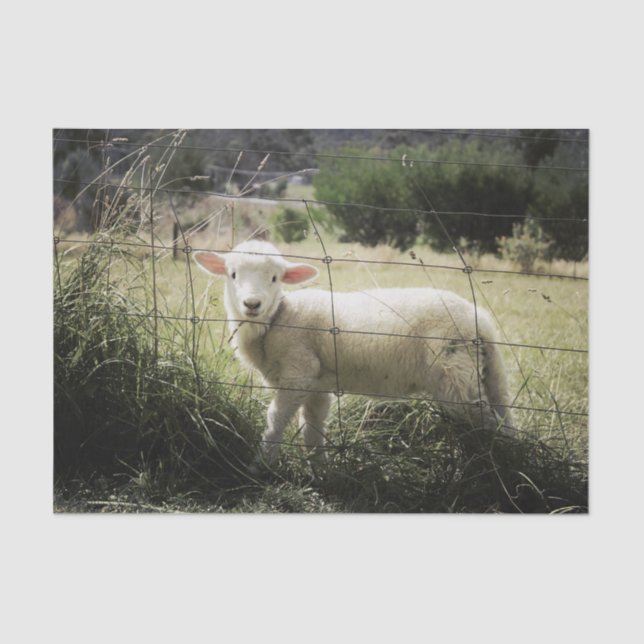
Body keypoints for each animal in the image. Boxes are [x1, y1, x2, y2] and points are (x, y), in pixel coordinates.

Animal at [194, 240, 515, 469]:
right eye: (232, 274)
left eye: (275, 278)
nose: (252, 304)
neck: (276, 320)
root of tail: (480, 321)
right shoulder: (317, 384)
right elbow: (312, 429)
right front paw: (319, 471)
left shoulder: (298, 372)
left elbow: (276, 420)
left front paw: (261, 465)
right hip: (484, 374)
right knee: (502, 416)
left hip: (454, 377)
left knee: (487, 423)